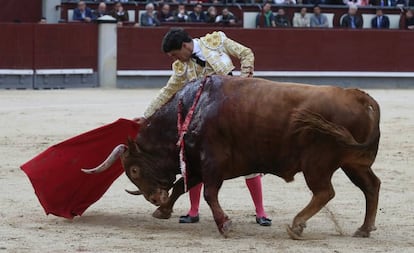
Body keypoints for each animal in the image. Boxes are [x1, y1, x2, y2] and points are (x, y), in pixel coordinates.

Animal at [82, 75, 380, 239]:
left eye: (133, 170)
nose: (154, 197)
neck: (191, 109)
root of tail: (358, 96)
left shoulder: (213, 162)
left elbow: (208, 194)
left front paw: (225, 225)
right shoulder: (196, 163)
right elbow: (181, 186)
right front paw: (163, 211)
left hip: (316, 163)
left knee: (325, 192)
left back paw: (296, 226)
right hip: (353, 162)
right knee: (371, 186)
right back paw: (364, 229)